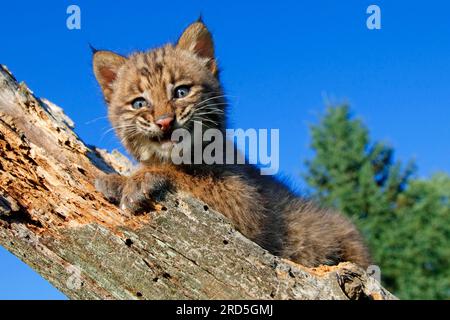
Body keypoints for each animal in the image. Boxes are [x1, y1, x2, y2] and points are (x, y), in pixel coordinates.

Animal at [93, 18, 370, 266]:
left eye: (181, 92)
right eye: (139, 103)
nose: (165, 122)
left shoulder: (246, 205)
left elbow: (192, 179)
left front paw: (134, 180)